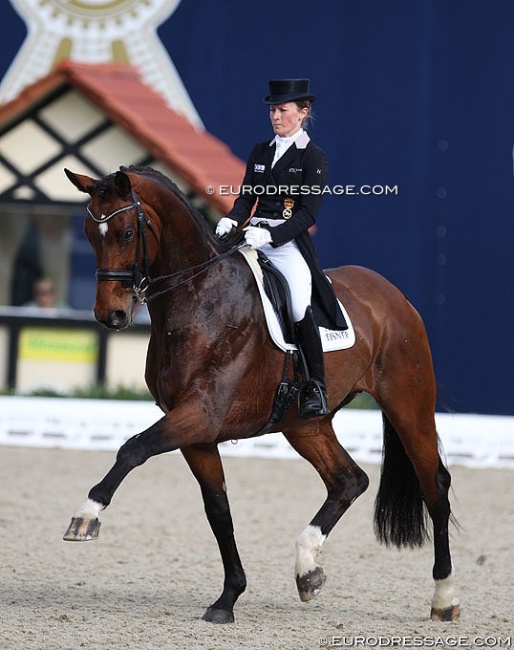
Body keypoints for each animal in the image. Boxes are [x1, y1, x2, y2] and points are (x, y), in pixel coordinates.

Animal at [62, 166, 458, 624]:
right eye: (88, 233)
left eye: (126, 233)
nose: (110, 315)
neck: (198, 297)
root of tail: (394, 295)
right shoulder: (196, 433)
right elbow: (219, 512)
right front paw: (227, 598)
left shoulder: (200, 414)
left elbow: (133, 448)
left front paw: (86, 516)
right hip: (305, 424)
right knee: (348, 480)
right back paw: (308, 569)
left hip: (408, 405)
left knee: (435, 487)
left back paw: (444, 598)